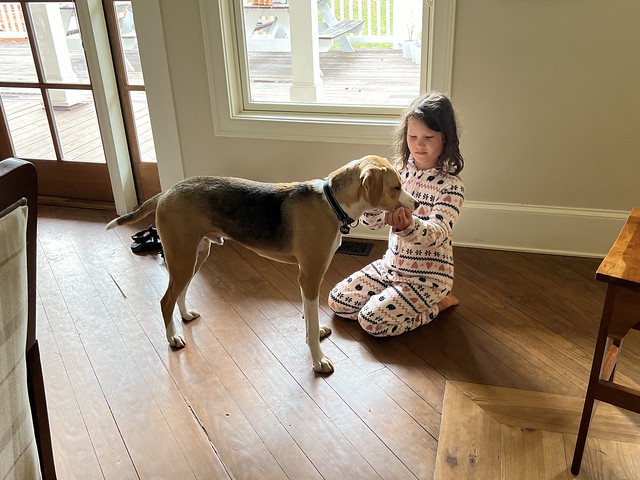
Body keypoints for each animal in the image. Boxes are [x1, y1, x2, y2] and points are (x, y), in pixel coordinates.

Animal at [106, 155, 418, 373]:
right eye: (396, 187)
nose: (415, 204)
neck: (332, 203)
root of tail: (166, 192)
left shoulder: (308, 278)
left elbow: (310, 317)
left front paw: (314, 333)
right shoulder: (310, 276)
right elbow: (312, 316)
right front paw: (318, 360)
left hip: (196, 254)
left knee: (178, 293)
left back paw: (185, 316)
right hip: (182, 256)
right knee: (165, 300)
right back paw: (173, 338)